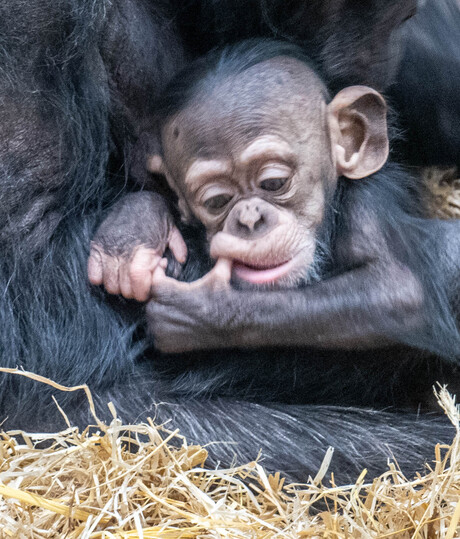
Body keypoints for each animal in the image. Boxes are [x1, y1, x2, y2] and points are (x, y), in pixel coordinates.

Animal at [0, 0, 458, 480]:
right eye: (217, 200)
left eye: (275, 183)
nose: (250, 219)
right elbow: (42, 265)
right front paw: (136, 228)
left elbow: (398, 287)